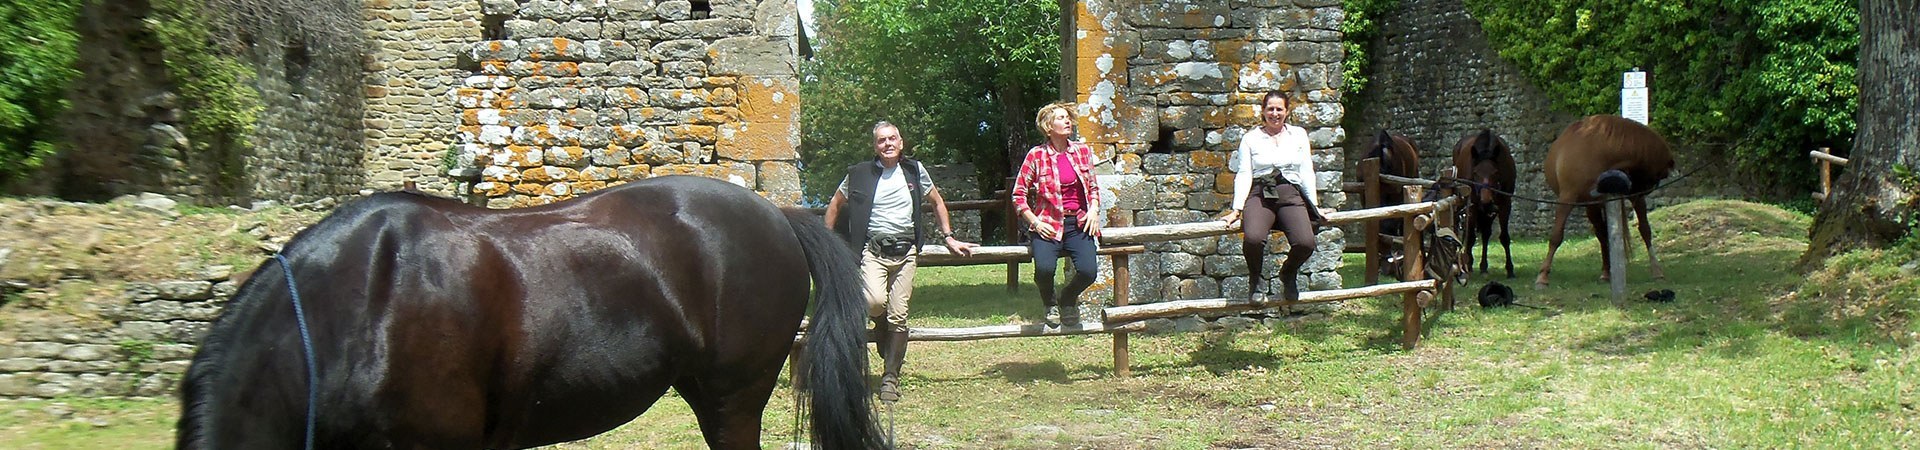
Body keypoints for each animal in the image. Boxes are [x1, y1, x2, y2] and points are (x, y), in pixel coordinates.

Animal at [1451, 129, 1517, 279]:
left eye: (1496, 172)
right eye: (1475, 173)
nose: (1486, 201)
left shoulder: (1505, 204)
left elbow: (1504, 237)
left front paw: (1510, 269)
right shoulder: (1473, 205)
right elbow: (1470, 237)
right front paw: (1469, 265)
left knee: (1486, 234)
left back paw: (1483, 266)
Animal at [1537, 115, 1675, 289]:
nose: (1648, 188)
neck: (1600, 151)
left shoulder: (1633, 197)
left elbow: (1645, 230)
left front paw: (1656, 270)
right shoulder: (1567, 198)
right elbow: (1556, 236)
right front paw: (1543, 275)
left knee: (1617, 233)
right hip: (1592, 207)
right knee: (1602, 234)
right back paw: (1606, 272)